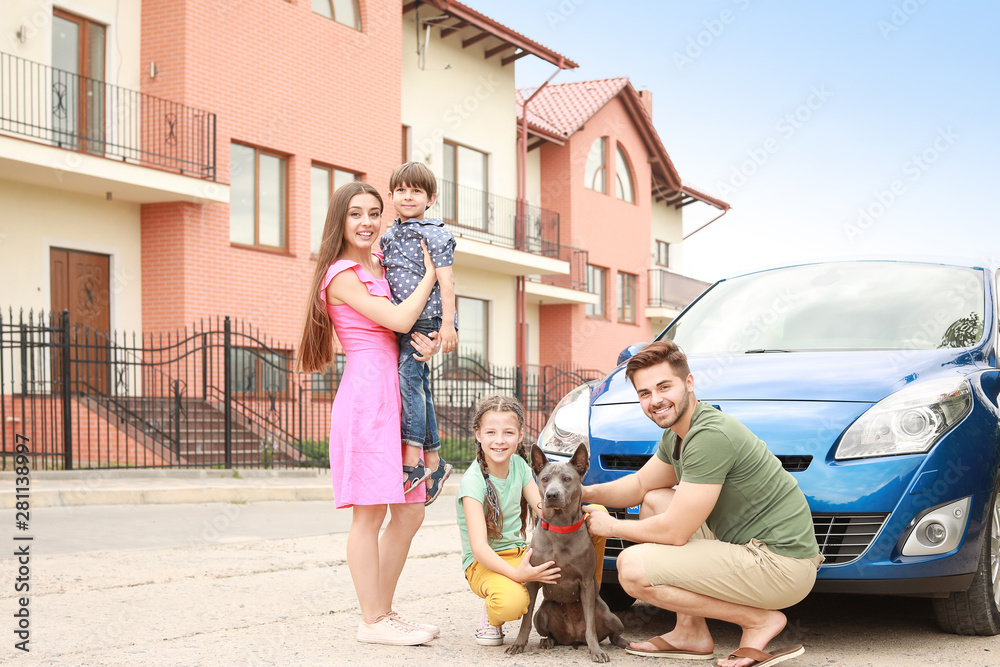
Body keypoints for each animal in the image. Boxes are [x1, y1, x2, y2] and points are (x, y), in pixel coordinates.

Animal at [508, 444, 624, 664]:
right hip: (542, 615)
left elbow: (591, 626)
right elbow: (525, 619)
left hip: (611, 617)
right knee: (550, 633)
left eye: (567, 478)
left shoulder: (586, 583)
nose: (552, 495)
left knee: (612, 633)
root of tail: (574, 639)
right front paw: (518, 643)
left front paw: (596, 651)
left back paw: (622, 643)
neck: (560, 528)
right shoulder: (533, 580)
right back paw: (547, 641)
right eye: (545, 478)